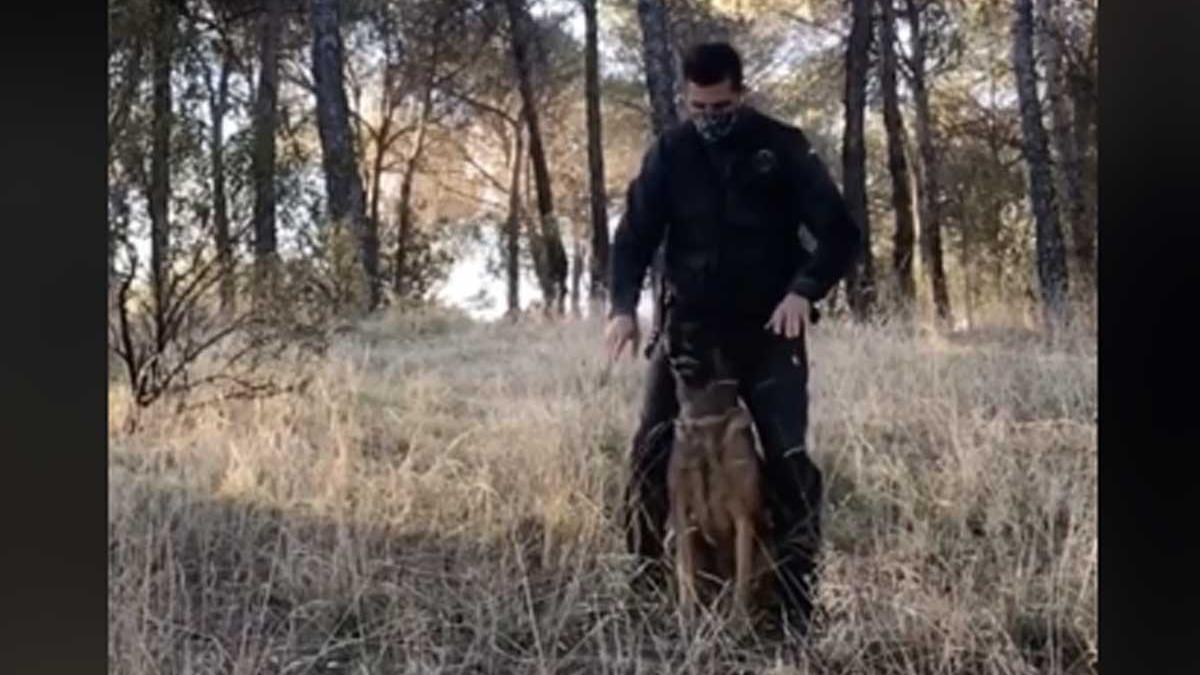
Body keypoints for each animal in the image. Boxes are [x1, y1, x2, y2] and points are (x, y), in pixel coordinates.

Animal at [667, 367, 777, 619]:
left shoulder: (744, 517)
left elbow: (742, 580)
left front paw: (737, 622)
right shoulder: (681, 511)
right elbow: (685, 573)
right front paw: (686, 618)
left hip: (768, 550)